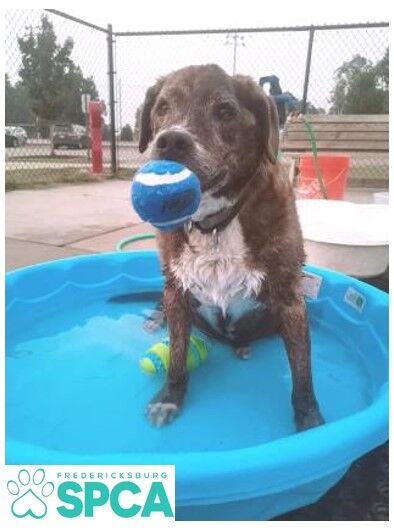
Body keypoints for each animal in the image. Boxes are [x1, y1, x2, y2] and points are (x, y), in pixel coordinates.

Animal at [138, 65, 324, 428]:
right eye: (162, 107)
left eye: (225, 110)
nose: (171, 140)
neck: (215, 223)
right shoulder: (177, 292)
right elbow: (177, 356)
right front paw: (170, 397)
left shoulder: (291, 302)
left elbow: (303, 374)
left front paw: (310, 421)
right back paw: (154, 317)